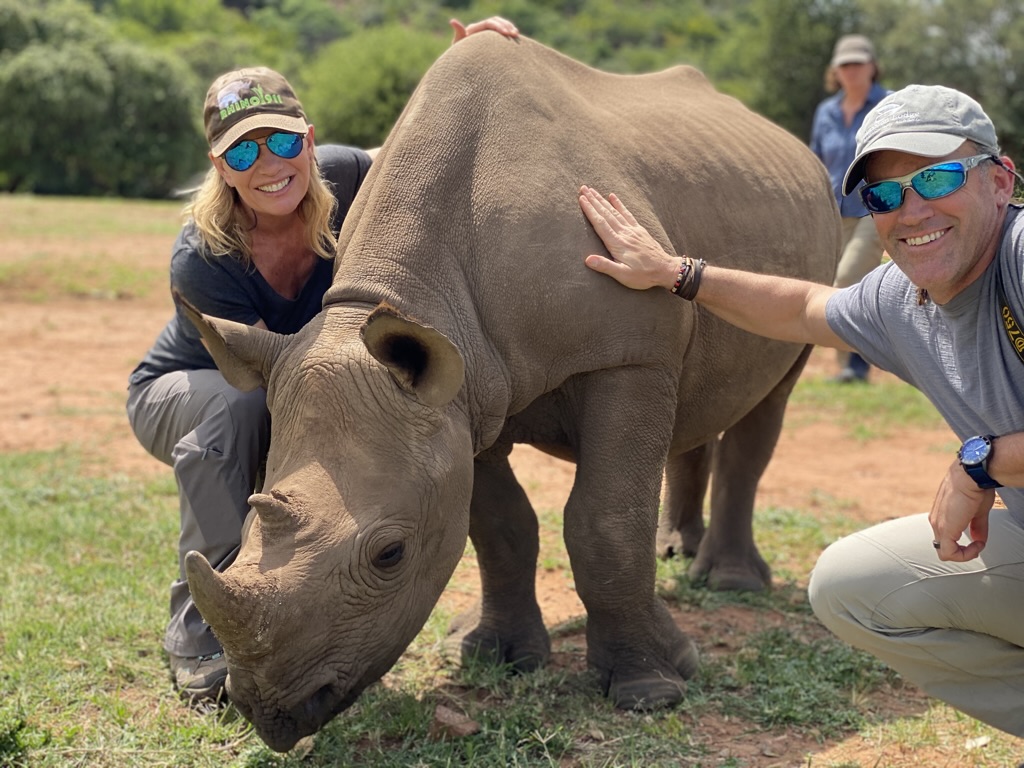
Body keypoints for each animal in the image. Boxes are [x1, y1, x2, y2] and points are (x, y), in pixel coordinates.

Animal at [182, 34, 841, 751]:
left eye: (390, 555)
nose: (269, 714)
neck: (414, 293)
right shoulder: (460, 390)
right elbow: (498, 525)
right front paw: (493, 655)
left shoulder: (628, 356)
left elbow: (605, 519)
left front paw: (652, 686)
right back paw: (678, 551)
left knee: (772, 395)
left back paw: (730, 583)